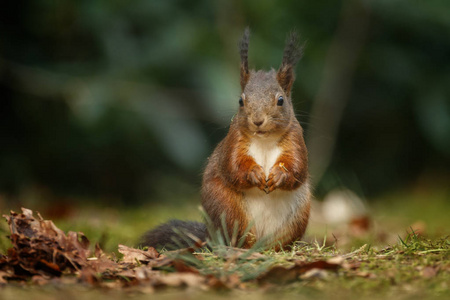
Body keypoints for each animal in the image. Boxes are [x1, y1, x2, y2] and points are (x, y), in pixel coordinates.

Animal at [141, 29, 310, 251]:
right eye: (240, 101)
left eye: (280, 100)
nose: (257, 121)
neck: (264, 140)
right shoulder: (234, 140)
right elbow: (233, 165)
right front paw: (254, 173)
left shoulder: (295, 139)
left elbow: (298, 167)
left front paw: (280, 175)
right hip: (228, 209)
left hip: (298, 216)